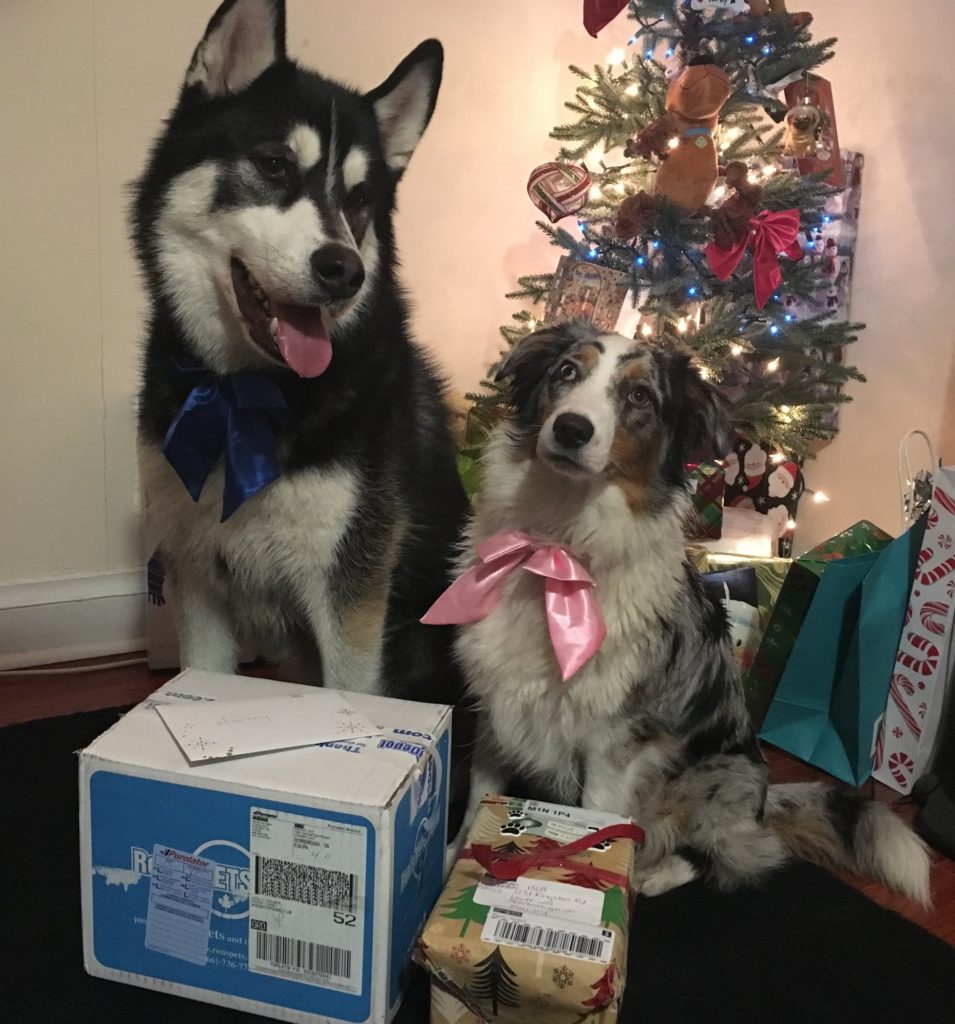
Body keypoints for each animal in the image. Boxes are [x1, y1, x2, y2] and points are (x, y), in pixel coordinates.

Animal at [133, 0, 466, 724]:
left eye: (361, 199)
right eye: (274, 165)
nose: (344, 270)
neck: (244, 397)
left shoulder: (349, 597)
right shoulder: (197, 579)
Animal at [448, 321, 933, 905]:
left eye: (640, 397)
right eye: (566, 371)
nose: (570, 429)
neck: (558, 545)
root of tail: (765, 798)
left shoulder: (612, 747)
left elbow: (593, 822)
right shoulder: (497, 709)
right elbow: (475, 808)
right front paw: (449, 868)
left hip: (720, 778)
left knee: (731, 851)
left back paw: (654, 874)